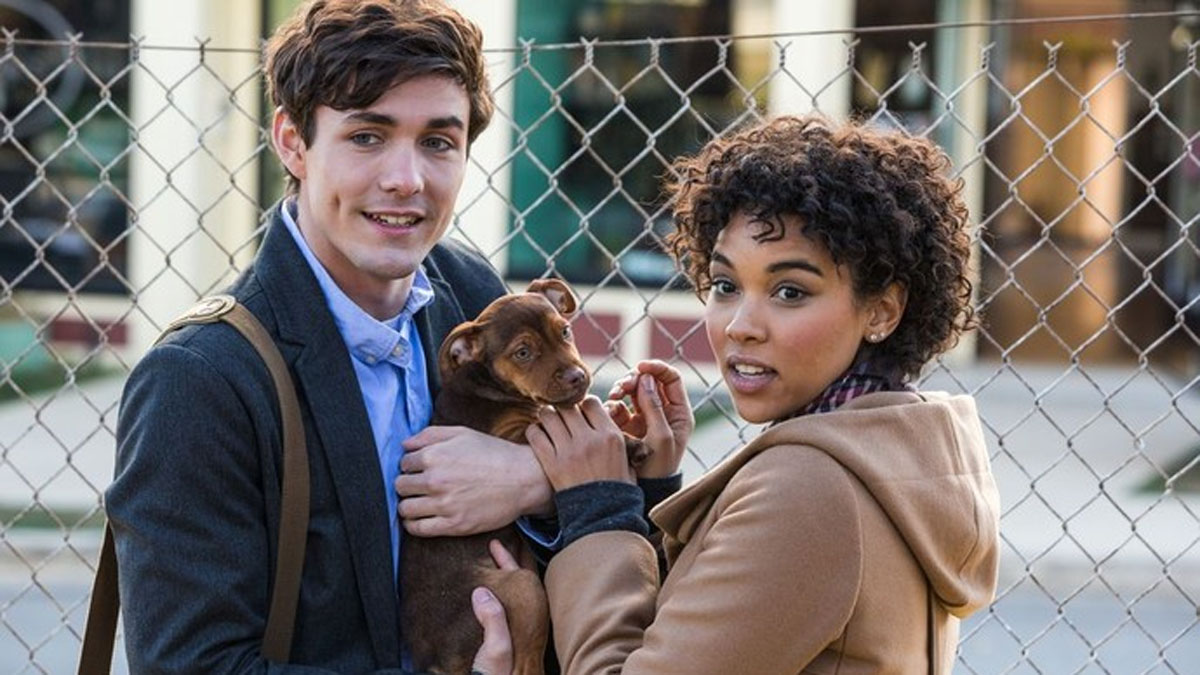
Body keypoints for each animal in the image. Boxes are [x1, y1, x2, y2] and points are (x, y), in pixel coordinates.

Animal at [403, 277, 590, 672]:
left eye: (565, 332)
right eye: (523, 353)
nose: (578, 377)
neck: (491, 384)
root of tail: (436, 661)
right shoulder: (516, 437)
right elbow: (549, 422)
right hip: (522, 587)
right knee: (525, 660)